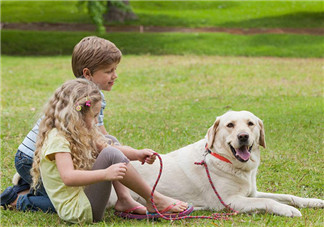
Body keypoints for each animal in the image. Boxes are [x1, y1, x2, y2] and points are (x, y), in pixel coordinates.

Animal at [107, 111, 322, 217]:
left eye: (250, 124)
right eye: (230, 125)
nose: (243, 136)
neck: (227, 160)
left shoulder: (251, 193)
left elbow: (288, 196)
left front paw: (314, 201)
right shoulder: (229, 201)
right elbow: (269, 202)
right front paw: (288, 210)